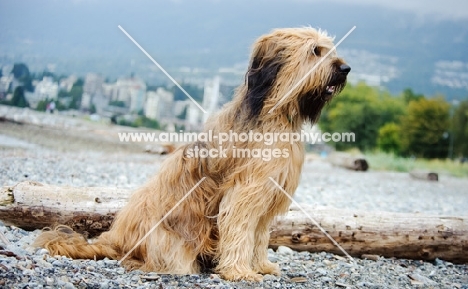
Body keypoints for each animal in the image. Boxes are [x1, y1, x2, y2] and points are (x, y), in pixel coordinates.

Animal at [34, 26, 350, 280]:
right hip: (168, 241)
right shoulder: (245, 193)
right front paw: (239, 271)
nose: (345, 69)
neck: (277, 114)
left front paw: (261, 266)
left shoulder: (267, 196)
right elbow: (240, 230)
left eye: (330, 49)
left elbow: (259, 235)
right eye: (316, 51)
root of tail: (115, 238)